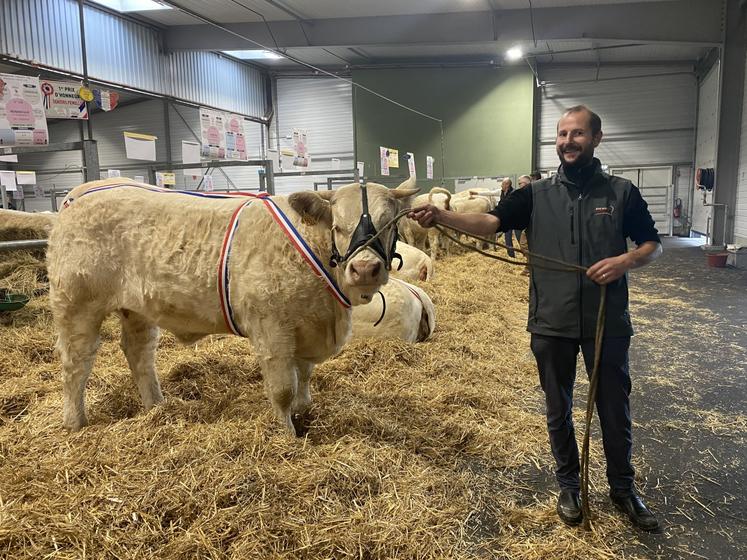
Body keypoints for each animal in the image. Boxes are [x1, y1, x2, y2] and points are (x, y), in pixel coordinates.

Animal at [47, 177, 420, 436]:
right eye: (339, 227)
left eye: (389, 225)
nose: (365, 268)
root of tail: (81, 193)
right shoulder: (272, 327)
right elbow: (283, 388)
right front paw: (287, 435)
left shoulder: (307, 324)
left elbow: (304, 378)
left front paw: (304, 412)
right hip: (76, 304)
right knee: (76, 362)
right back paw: (76, 422)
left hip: (137, 309)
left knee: (139, 353)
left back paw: (156, 407)